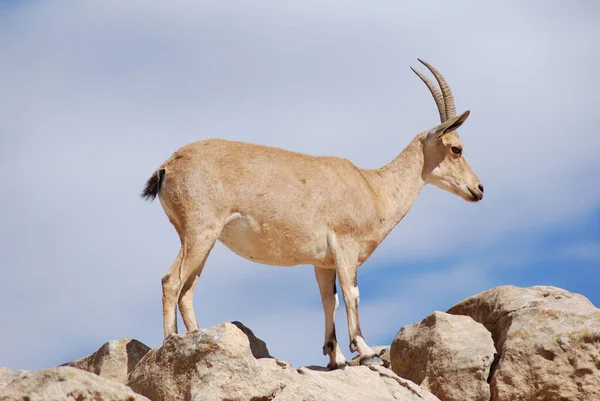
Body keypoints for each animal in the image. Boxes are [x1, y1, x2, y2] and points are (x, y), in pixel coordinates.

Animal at [141, 57, 482, 368]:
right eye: (456, 148)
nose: (478, 189)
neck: (371, 186)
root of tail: (168, 166)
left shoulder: (323, 262)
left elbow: (329, 300)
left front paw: (336, 357)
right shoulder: (345, 245)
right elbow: (351, 293)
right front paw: (366, 351)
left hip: (201, 239)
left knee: (187, 290)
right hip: (201, 231)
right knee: (171, 281)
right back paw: (171, 341)